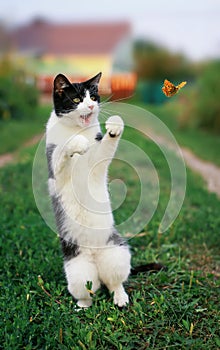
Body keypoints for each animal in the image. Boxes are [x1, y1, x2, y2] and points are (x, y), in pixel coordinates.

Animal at [45, 72, 131, 308]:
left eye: (93, 96)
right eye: (76, 99)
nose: (91, 106)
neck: (76, 130)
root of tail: (94, 257)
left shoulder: (97, 162)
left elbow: (104, 150)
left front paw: (115, 126)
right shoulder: (56, 173)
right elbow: (61, 154)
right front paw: (75, 144)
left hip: (118, 253)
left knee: (113, 281)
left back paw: (120, 297)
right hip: (77, 271)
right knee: (88, 290)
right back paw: (82, 306)